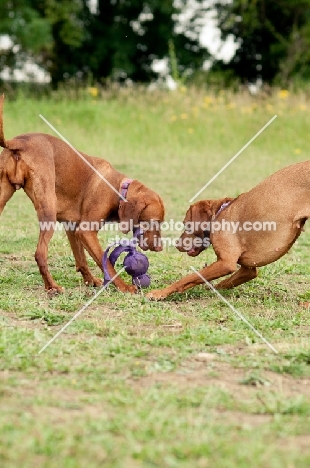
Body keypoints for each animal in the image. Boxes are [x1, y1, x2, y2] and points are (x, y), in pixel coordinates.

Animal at [0, 96, 165, 292]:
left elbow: (81, 260)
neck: (118, 188)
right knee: (40, 253)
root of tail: (19, 141)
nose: (161, 248)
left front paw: (90, 280)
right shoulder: (86, 231)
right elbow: (106, 263)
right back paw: (52, 287)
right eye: (154, 222)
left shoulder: (72, 228)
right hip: (48, 211)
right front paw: (125, 287)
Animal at [147, 161, 310, 300]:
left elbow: (189, 277)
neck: (219, 213)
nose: (177, 245)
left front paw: (160, 293)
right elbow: (223, 283)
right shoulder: (248, 270)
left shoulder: (225, 263)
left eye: (186, 225)